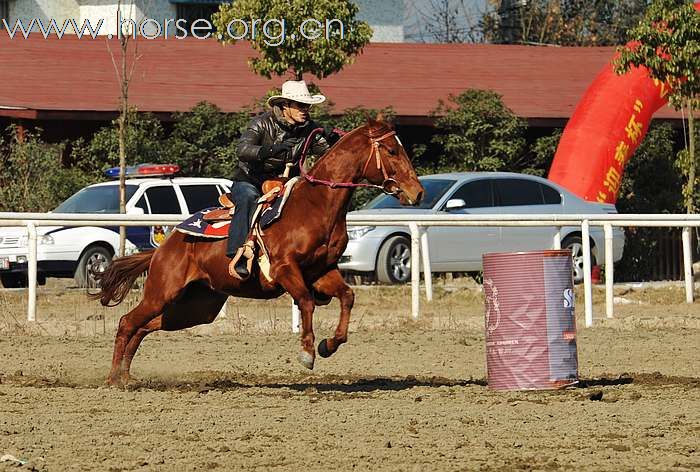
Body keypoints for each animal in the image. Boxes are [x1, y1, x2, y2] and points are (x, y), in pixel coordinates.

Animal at [92, 116, 422, 386]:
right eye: (391, 151)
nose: (417, 192)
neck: (315, 205)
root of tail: (163, 250)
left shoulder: (322, 271)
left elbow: (347, 296)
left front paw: (329, 345)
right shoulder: (284, 269)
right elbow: (306, 301)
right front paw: (307, 353)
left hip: (198, 307)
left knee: (143, 327)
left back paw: (126, 375)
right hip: (162, 292)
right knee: (127, 323)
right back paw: (113, 379)